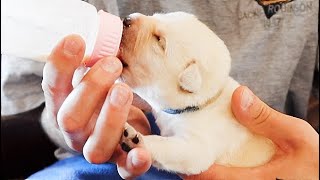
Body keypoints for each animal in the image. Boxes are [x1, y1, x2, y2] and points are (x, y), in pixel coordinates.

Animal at [117, 11, 276, 175]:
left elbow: (167, 146)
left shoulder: (199, 146)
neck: (205, 102)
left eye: (159, 39)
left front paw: (136, 139)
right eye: (155, 15)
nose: (127, 19)